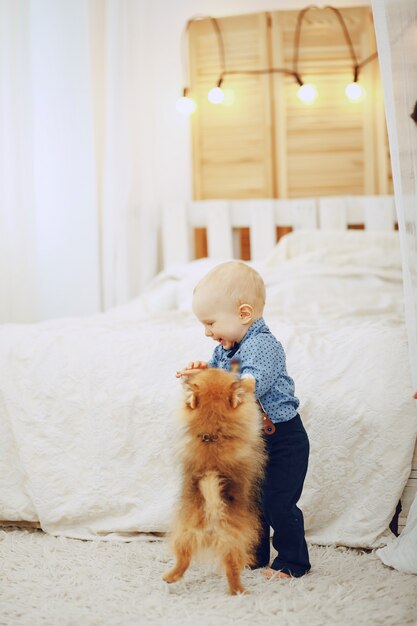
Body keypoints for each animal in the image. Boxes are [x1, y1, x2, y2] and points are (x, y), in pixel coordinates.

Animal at [161, 368, 264, 592]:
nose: (207, 366)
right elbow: (249, 392)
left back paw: (170, 576)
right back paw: (239, 591)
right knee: (232, 567)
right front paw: (249, 379)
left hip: (185, 534)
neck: (213, 436)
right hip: (235, 542)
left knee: (183, 558)